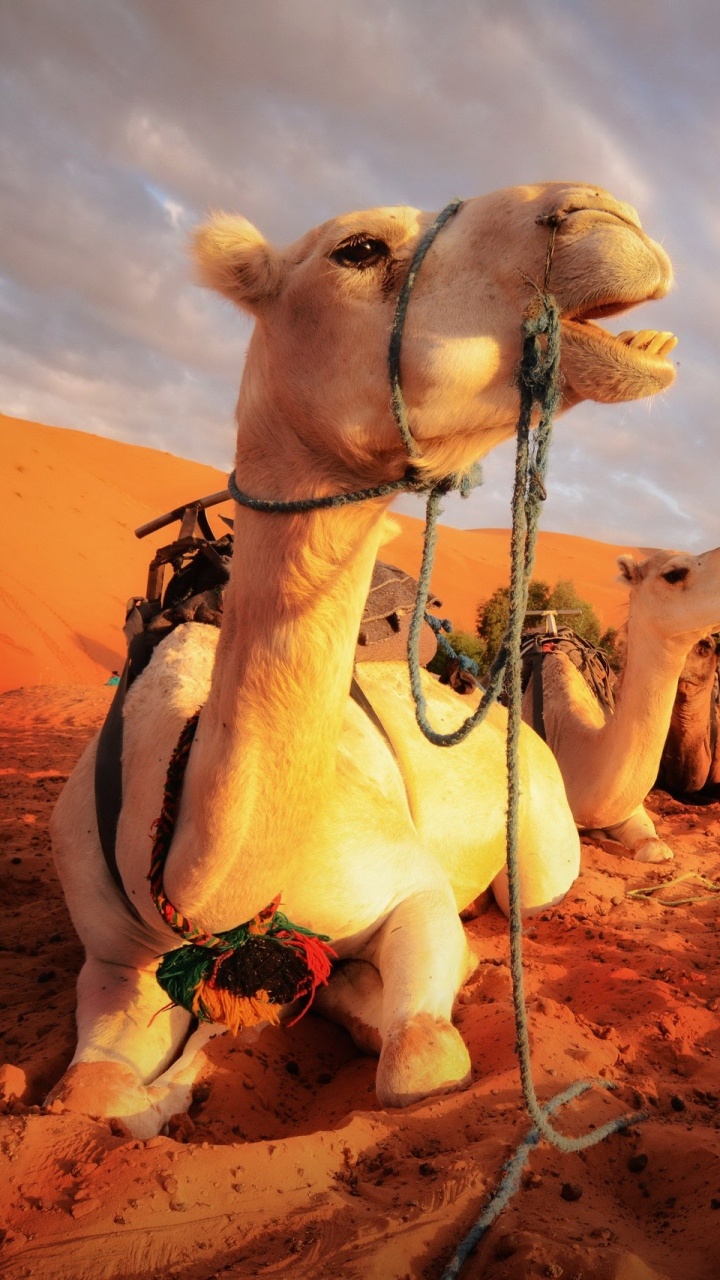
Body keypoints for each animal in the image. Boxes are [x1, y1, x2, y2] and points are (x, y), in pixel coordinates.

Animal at [46, 183, 676, 1137]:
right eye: (360, 248)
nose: (604, 215)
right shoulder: (114, 955)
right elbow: (85, 1096)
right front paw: (173, 1076)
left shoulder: (406, 887)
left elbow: (421, 1057)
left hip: (538, 853)